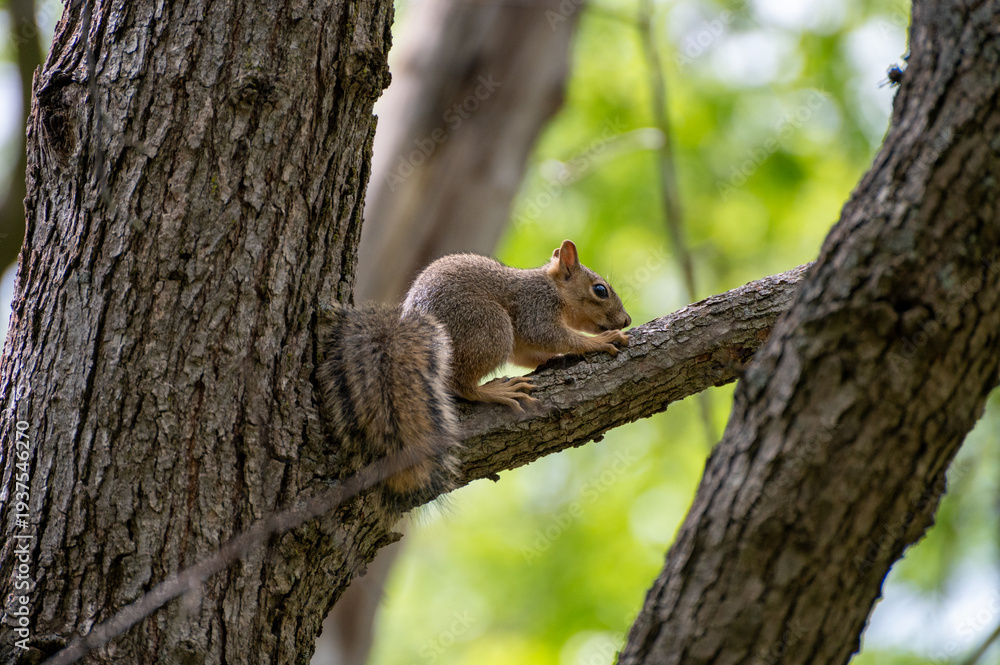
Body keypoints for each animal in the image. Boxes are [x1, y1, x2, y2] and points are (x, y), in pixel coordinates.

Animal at [318, 239, 631, 506]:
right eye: (600, 290)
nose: (627, 320)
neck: (552, 287)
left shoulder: (522, 343)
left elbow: (531, 353)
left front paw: (563, 356)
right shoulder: (535, 308)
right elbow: (550, 335)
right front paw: (597, 342)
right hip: (489, 327)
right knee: (460, 384)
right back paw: (495, 391)